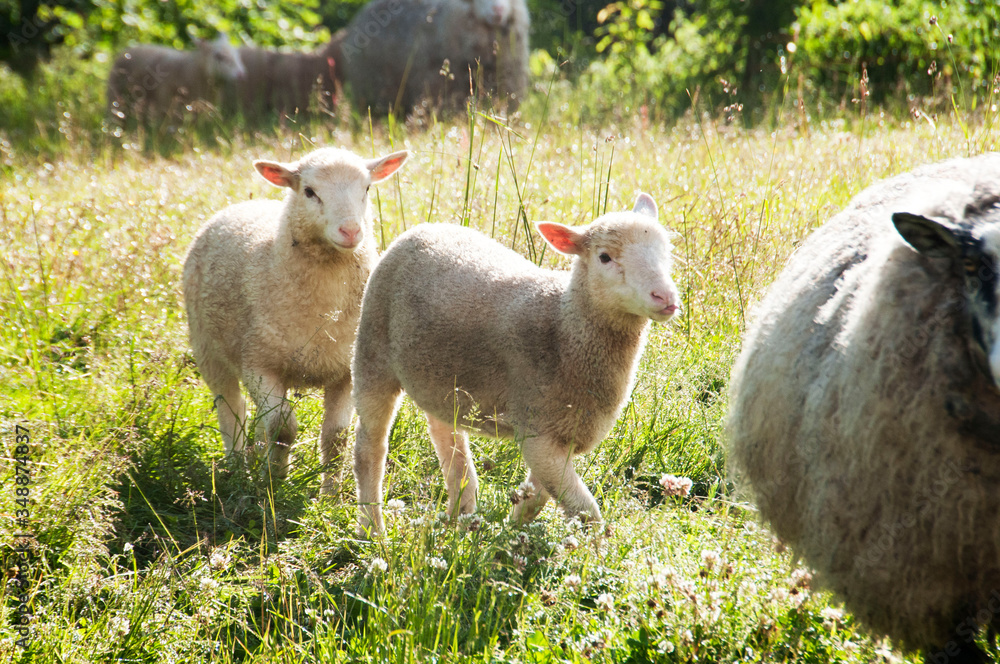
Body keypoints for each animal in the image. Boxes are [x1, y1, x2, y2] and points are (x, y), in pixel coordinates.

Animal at [107, 33, 246, 124]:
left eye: (237, 54)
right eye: (219, 56)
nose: (241, 74)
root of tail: (126, 50)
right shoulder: (166, 101)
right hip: (116, 96)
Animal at [182, 147, 409, 493]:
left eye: (367, 188)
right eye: (310, 192)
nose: (351, 231)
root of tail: (242, 204)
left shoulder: (345, 371)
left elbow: (336, 437)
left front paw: (330, 495)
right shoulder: (258, 365)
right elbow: (282, 427)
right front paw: (276, 483)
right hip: (207, 347)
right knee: (231, 409)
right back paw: (237, 469)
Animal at [352, 193, 680, 535]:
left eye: (667, 251)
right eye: (604, 257)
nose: (665, 297)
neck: (562, 328)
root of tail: (425, 228)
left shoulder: (558, 433)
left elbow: (538, 497)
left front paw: (511, 531)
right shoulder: (538, 429)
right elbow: (586, 512)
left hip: (438, 377)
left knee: (447, 439)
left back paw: (459, 517)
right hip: (372, 350)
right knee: (369, 448)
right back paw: (372, 530)